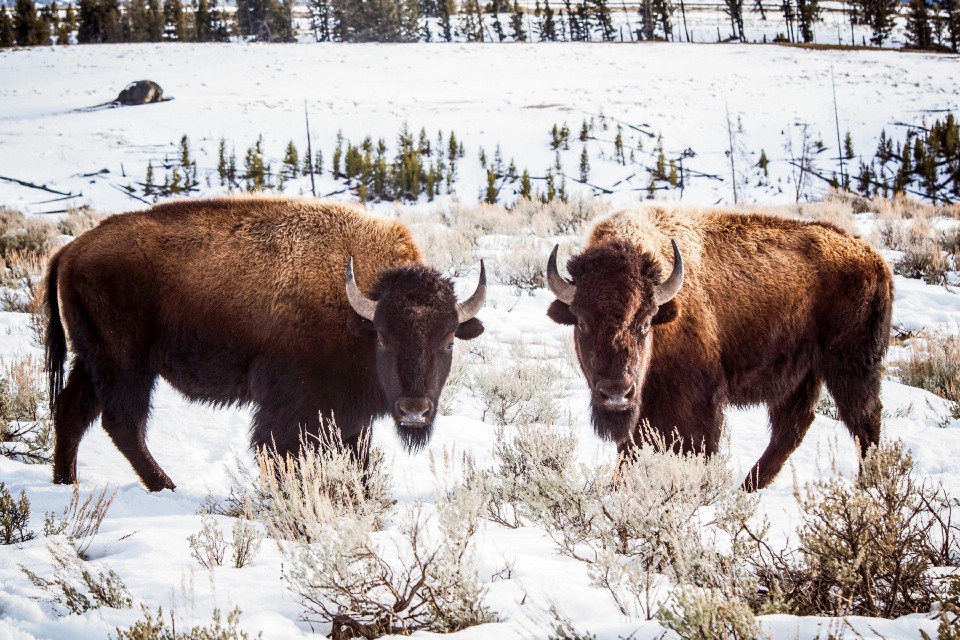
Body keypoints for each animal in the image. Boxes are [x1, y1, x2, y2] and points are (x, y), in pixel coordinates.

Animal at [46, 198, 484, 492]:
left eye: (448, 341)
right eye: (383, 337)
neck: (355, 306)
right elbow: (277, 451)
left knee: (73, 412)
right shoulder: (289, 405)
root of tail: (70, 250)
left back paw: (67, 483)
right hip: (126, 364)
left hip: (93, 360)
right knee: (123, 423)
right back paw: (164, 486)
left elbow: (356, 455)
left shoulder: (349, 416)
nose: (414, 411)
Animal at [544, 205, 896, 490]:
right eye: (582, 323)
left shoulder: (697, 401)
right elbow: (629, 450)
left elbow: (696, 446)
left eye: (644, 322)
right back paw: (749, 487)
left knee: (864, 418)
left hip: (850, 366)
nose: (616, 392)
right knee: (793, 426)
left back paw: (866, 484)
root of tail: (874, 258)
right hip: (801, 374)